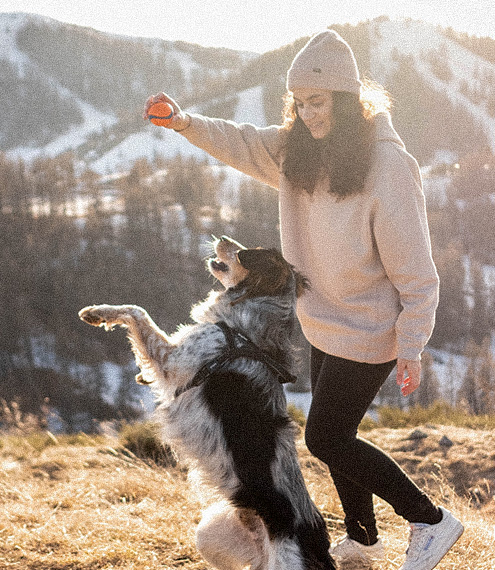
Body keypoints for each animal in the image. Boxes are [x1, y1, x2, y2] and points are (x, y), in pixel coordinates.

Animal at [79, 233, 336, 564]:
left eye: (244, 253)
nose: (223, 237)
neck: (241, 330)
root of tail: (316, 541)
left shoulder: (171, 360)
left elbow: (138, 312)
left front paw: (98, 312)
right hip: (210, 534)